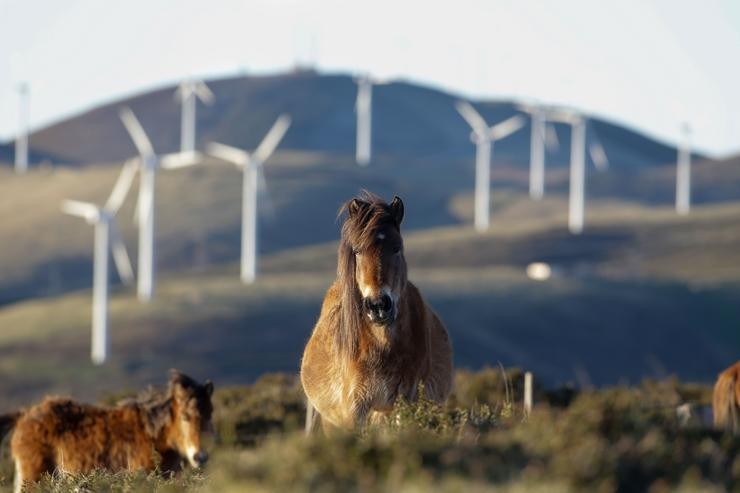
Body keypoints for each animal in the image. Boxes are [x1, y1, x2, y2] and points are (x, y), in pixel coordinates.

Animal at [300, 192, 450, 430]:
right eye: (358, 251)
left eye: (397, 248)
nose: (378, 305)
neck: (382, 344)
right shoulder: (354, 408)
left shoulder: (404, 401)